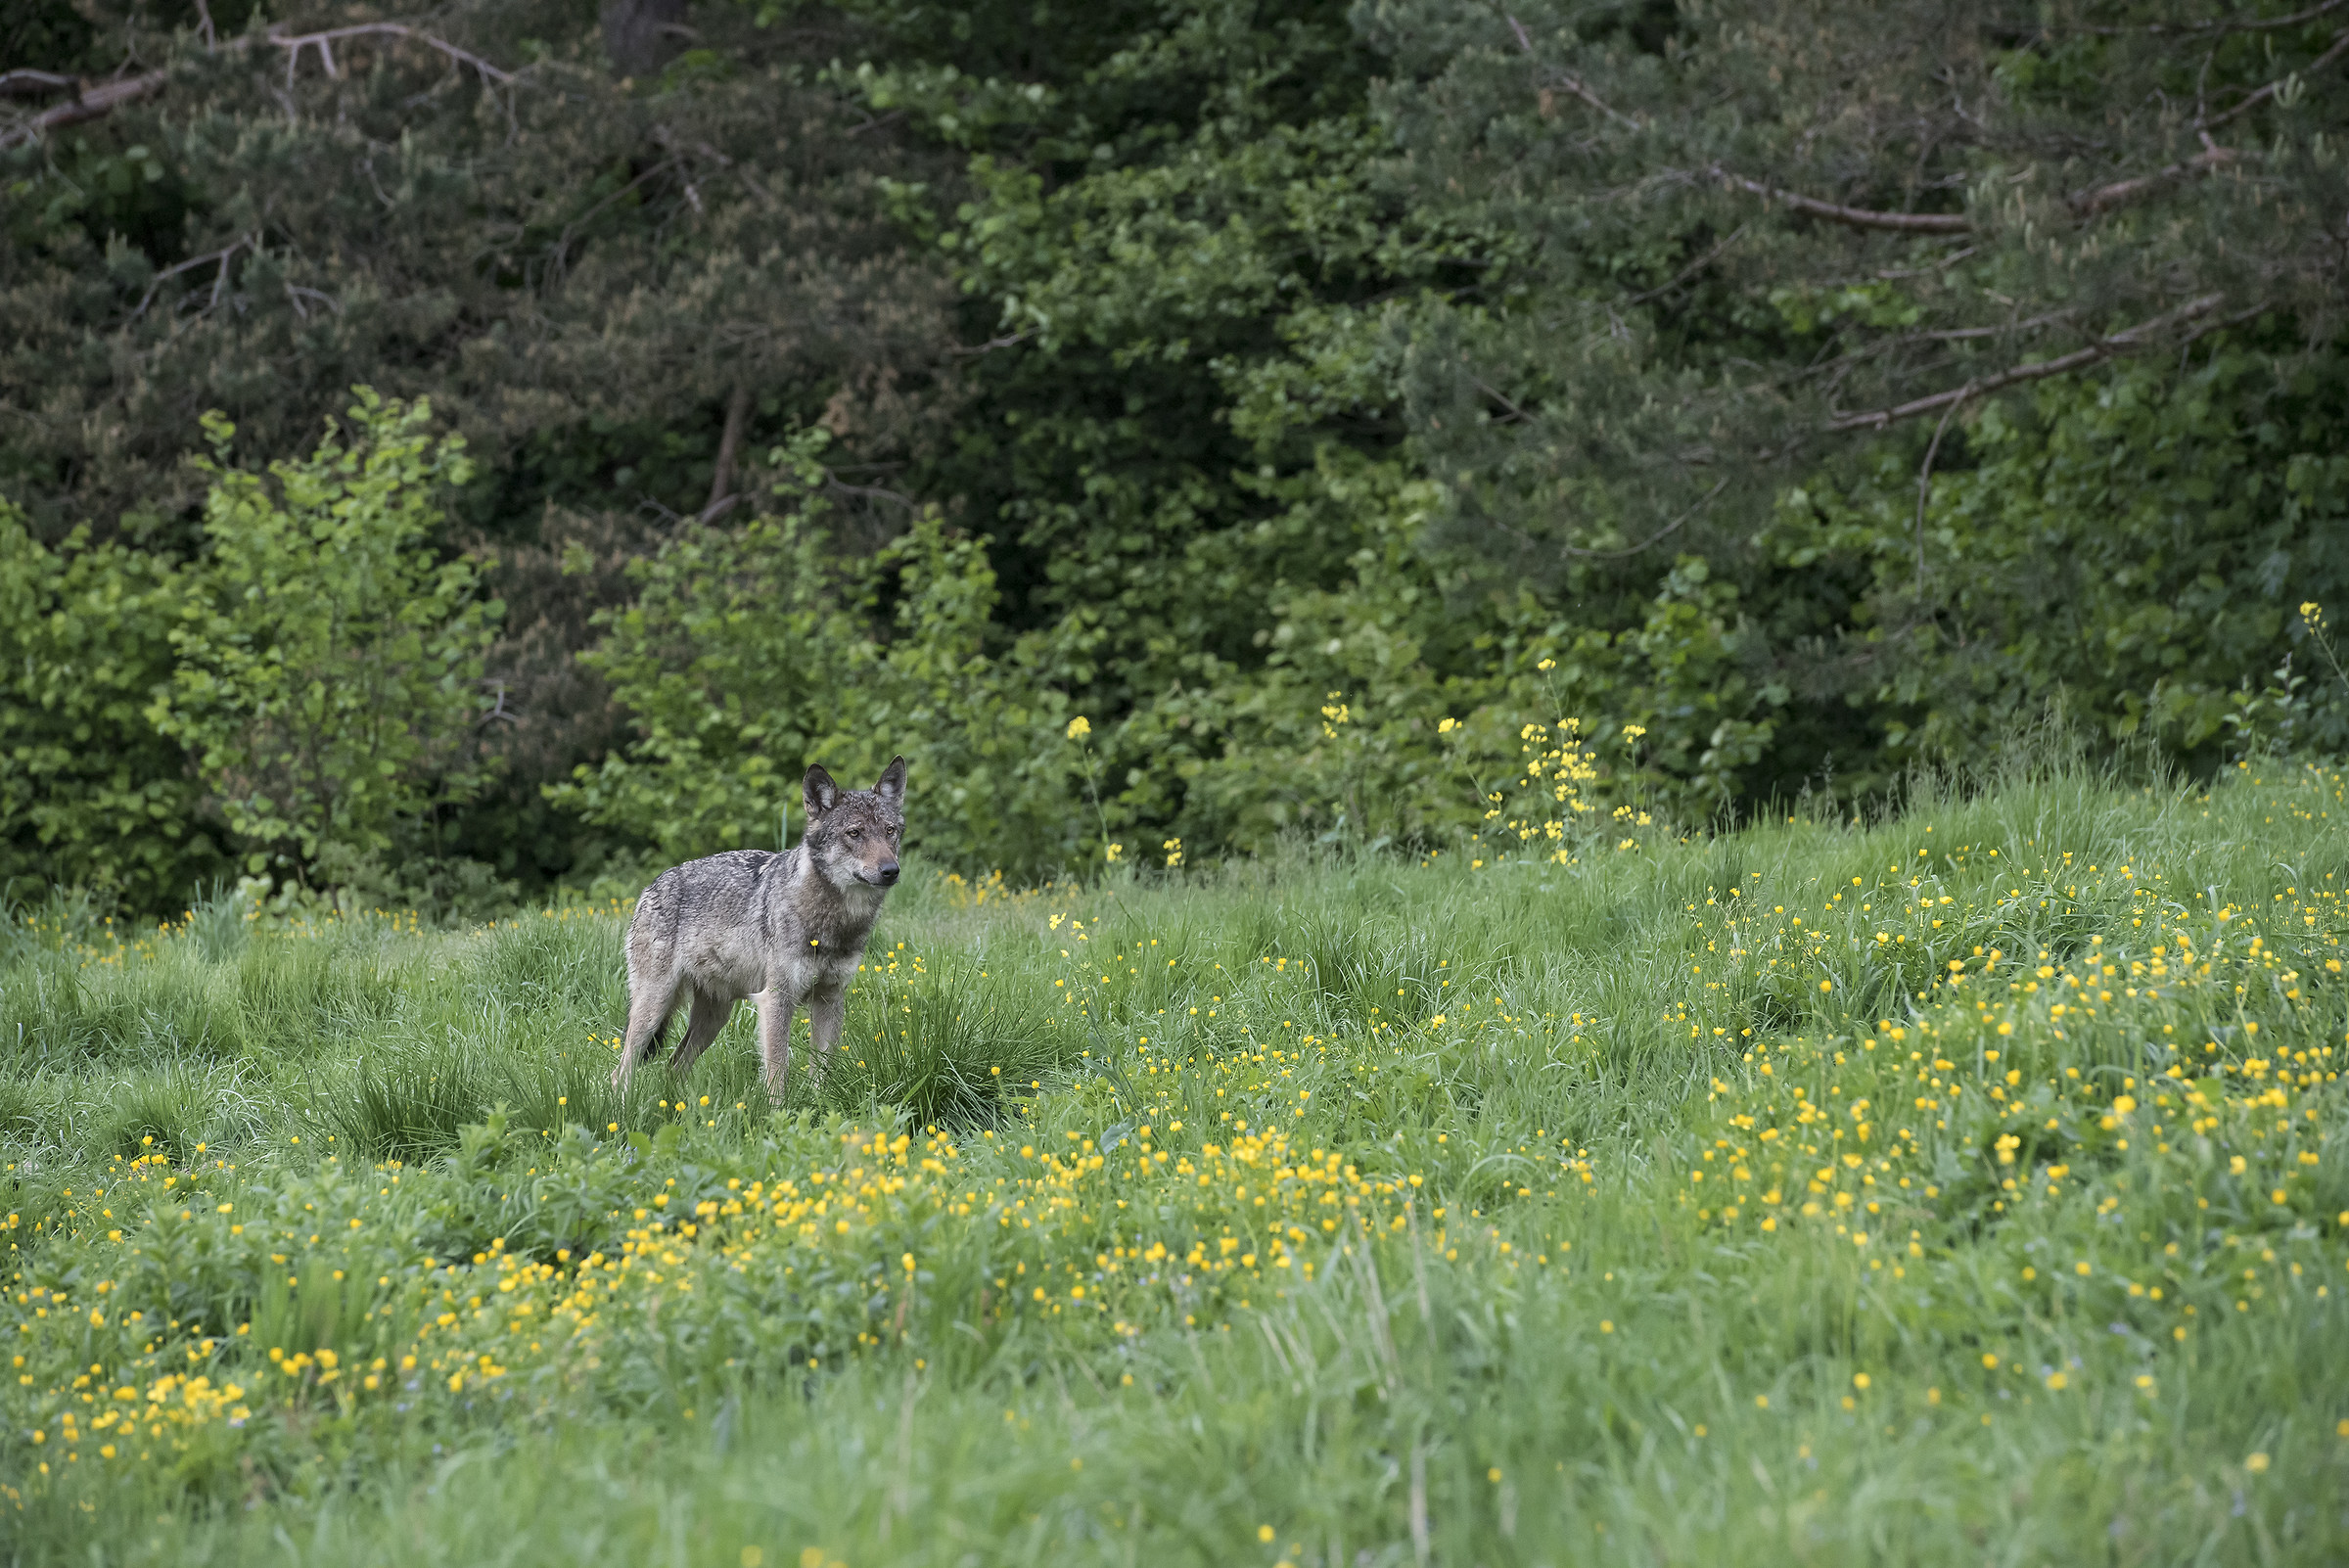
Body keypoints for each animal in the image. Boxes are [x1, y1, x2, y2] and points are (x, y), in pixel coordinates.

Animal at [613, 757, 906, 1101]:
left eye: (889, 831)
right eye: (855, 833)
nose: (891, 870)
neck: (833, 923)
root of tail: (650, 887)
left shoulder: (830, 998)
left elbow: (822, 1071)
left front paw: (820, 1108)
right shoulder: (776, 999)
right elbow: (778, 1070)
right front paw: (777, 1112)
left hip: (713, 1019)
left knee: (673, 1065)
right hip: (653, 1008)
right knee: (621, 1071)